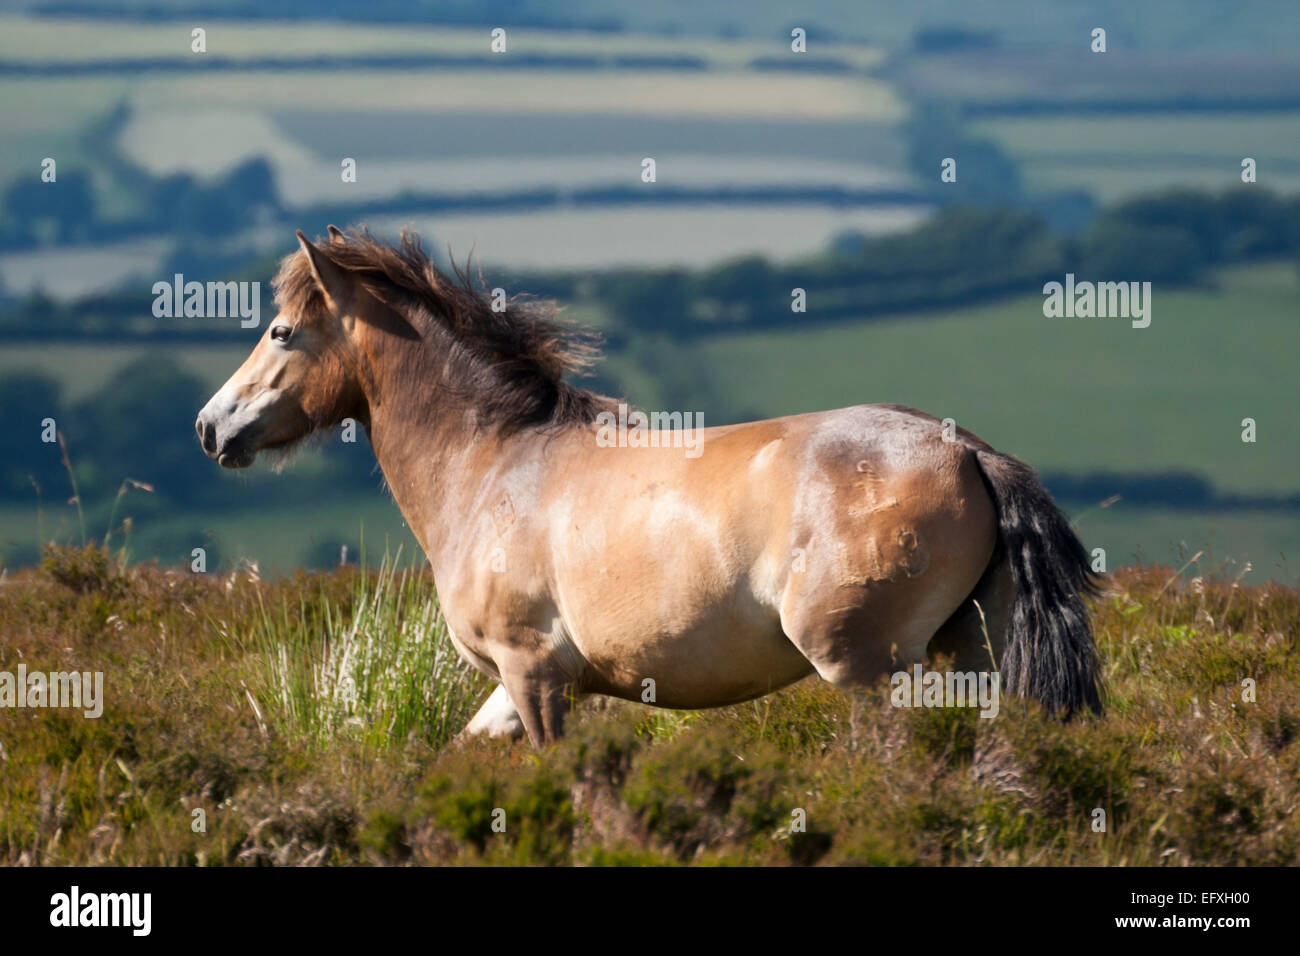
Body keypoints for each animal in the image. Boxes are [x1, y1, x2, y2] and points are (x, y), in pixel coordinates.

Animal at [197, 226, 1102, 749]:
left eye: (281, 331)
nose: (212, 426)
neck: (492, 465)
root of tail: (972, 453)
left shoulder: (532, 673)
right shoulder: (515, 687)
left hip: (868, 667)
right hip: (972, 652)